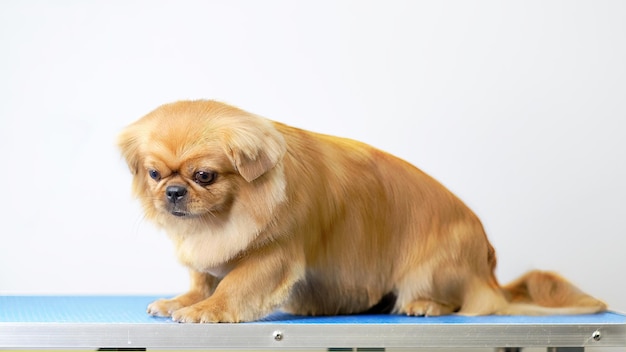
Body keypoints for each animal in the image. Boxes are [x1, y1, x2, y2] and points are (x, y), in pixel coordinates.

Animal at [117, 99, 604, 322]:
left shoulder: (274, 256)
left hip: (432, 269)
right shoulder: (210, 255)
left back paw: (425, 305)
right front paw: (183, 301)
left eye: (204, 176)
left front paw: (209, 310)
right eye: (155, 174)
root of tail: (489, 266)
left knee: (462, 300)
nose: (173, 191)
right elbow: (203, 279)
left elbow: (235, 284)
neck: (222, 221)